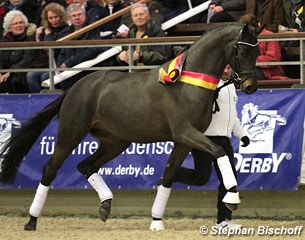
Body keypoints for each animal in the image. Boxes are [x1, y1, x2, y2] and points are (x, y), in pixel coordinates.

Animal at [0, 23, 258, 231]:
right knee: (49, 170)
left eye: (256, 52)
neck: (187, 83)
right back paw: (31, 221)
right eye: (242, 51)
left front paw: (156, 221)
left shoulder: (184, 141)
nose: (250, 86)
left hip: (115, 142)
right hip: (70, 134)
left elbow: (169, 175)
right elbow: (220, 151)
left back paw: (105, 205)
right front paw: (232, 199)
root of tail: (74, 88)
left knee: (86, 165)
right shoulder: (186, 133)